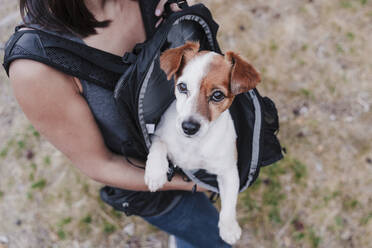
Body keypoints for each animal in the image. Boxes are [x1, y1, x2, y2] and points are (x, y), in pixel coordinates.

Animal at [144, 42, 260, 244]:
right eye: (182, 87)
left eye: (217, 95)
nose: (188, 127)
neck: (192, 144)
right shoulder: (158, 134)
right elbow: (159, 146)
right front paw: (155, 173)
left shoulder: (228, 171)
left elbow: (230, 201)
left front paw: (229, 227)